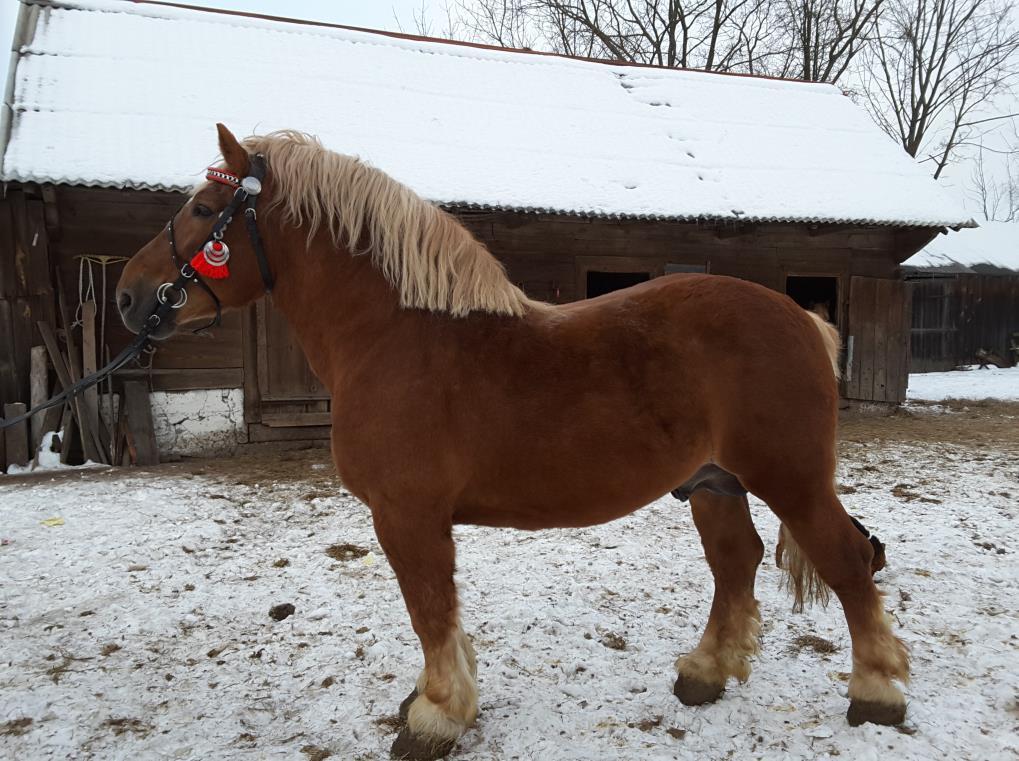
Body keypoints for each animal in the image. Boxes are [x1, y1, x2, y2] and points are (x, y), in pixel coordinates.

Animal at [117, 123, 908, 757]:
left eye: (203, 208)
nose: (128, 293)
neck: (394, 335)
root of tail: (801, 317)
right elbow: (443, 612)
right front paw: (440, 697)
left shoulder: (406, 515)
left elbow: (429, 609)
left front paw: (436, 715)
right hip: (714, 483)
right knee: (734, 562)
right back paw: (704, 672)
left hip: (790, 480)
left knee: (845, 559)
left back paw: (875, 693)